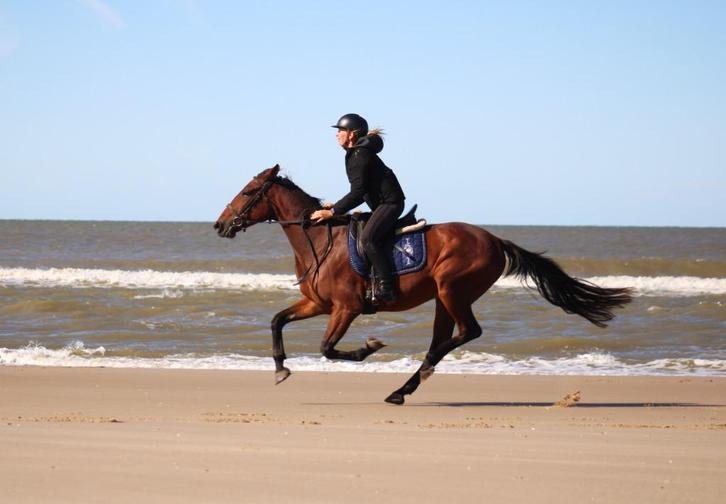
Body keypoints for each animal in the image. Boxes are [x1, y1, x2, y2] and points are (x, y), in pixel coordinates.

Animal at [214, 165, 633, 405]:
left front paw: (369, 347)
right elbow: (277, 320)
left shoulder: (346, 308)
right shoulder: (319, 305)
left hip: (452, 290)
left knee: (465, 333)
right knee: (446, 337)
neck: (318, 240)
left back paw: (419, 373)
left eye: (248, 192)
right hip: (443, 299)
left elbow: (328, 348)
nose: (219, 225)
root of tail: (495, 240)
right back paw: (404, 387)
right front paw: (280, 369)